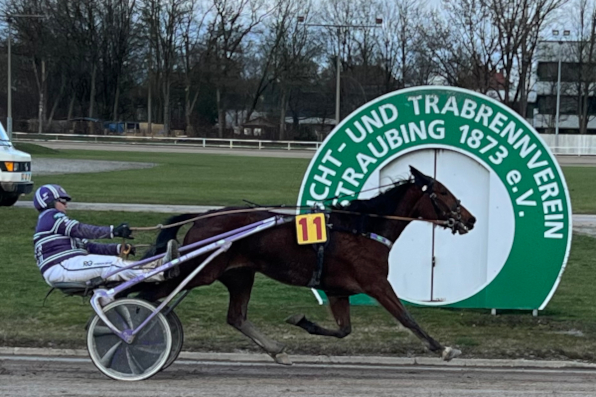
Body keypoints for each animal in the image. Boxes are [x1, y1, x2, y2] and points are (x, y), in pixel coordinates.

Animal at [136, 166, 474, 364]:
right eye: (443, 191)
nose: (470, 218)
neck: (364, 227)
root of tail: (201, 218)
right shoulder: (376, 283)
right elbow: (407, 318)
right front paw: (444, 349)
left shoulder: (338, 290)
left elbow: (344, 330)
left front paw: (300, 321)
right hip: (203, 271)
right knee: (145, 293)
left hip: (239, 274)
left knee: (236, 317)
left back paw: (277, 350)